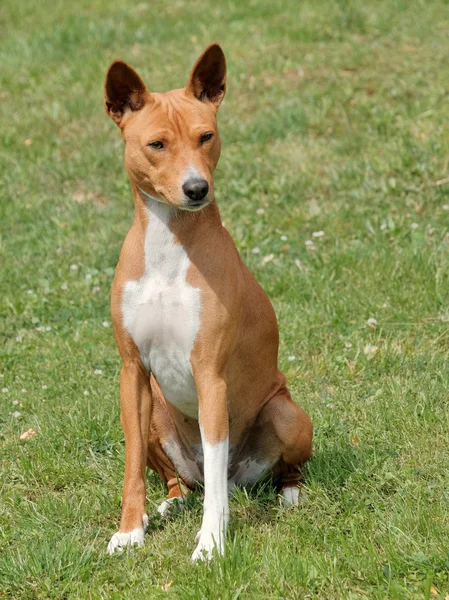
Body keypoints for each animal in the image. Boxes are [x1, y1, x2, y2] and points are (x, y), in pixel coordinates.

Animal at [102, 43, 312, 564]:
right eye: (157, 144)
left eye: (206, 136)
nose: (197, 189)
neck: (168, 250)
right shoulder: (132, 372)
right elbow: (132, 467)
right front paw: (128, 531)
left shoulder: (210, 374)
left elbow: (216, 484)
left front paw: (211, 544)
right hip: (155, 412)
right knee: (186, 482)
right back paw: (167, 506)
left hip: (287, 413)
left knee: (246, 475)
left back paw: (290, 494)